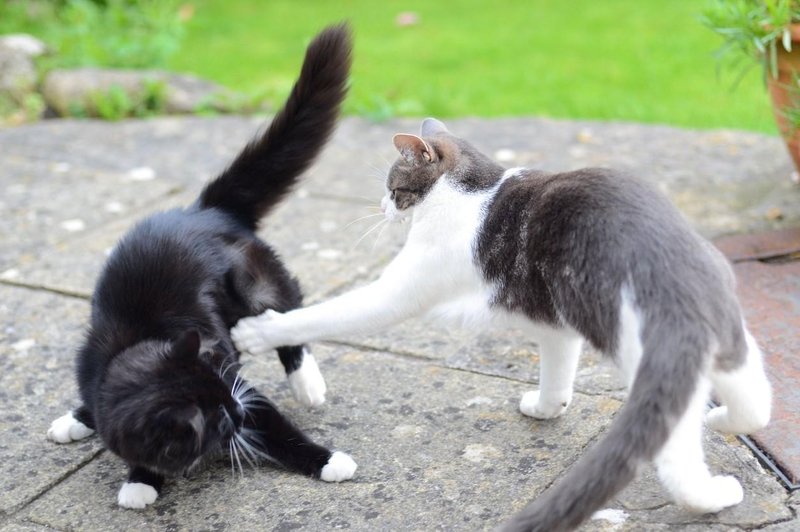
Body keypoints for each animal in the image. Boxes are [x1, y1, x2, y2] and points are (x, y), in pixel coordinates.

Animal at [45, 23, 354, 508]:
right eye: (221, 418)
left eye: (229, 406)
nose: (238, 411)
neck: (139, 343)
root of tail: (205, 208)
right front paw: (140, 478)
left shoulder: (236, 381)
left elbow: (277, 427)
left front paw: (328, 460)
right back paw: (74, 419)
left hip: (252, 276)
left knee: (286, 306)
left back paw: (306, 382)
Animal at [234, 118, 772, 528]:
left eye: (394, 188)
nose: (384, 207)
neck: (474, 188)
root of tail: (674, 284)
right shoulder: (555, 321)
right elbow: (558, 370)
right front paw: (547, 407)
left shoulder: (405, 287)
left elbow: (329, 314)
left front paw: (260, 330)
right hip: (731, 336)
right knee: (757, 405)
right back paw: (723, 421)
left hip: (650, 370)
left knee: (679, 462)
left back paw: (715, 496)